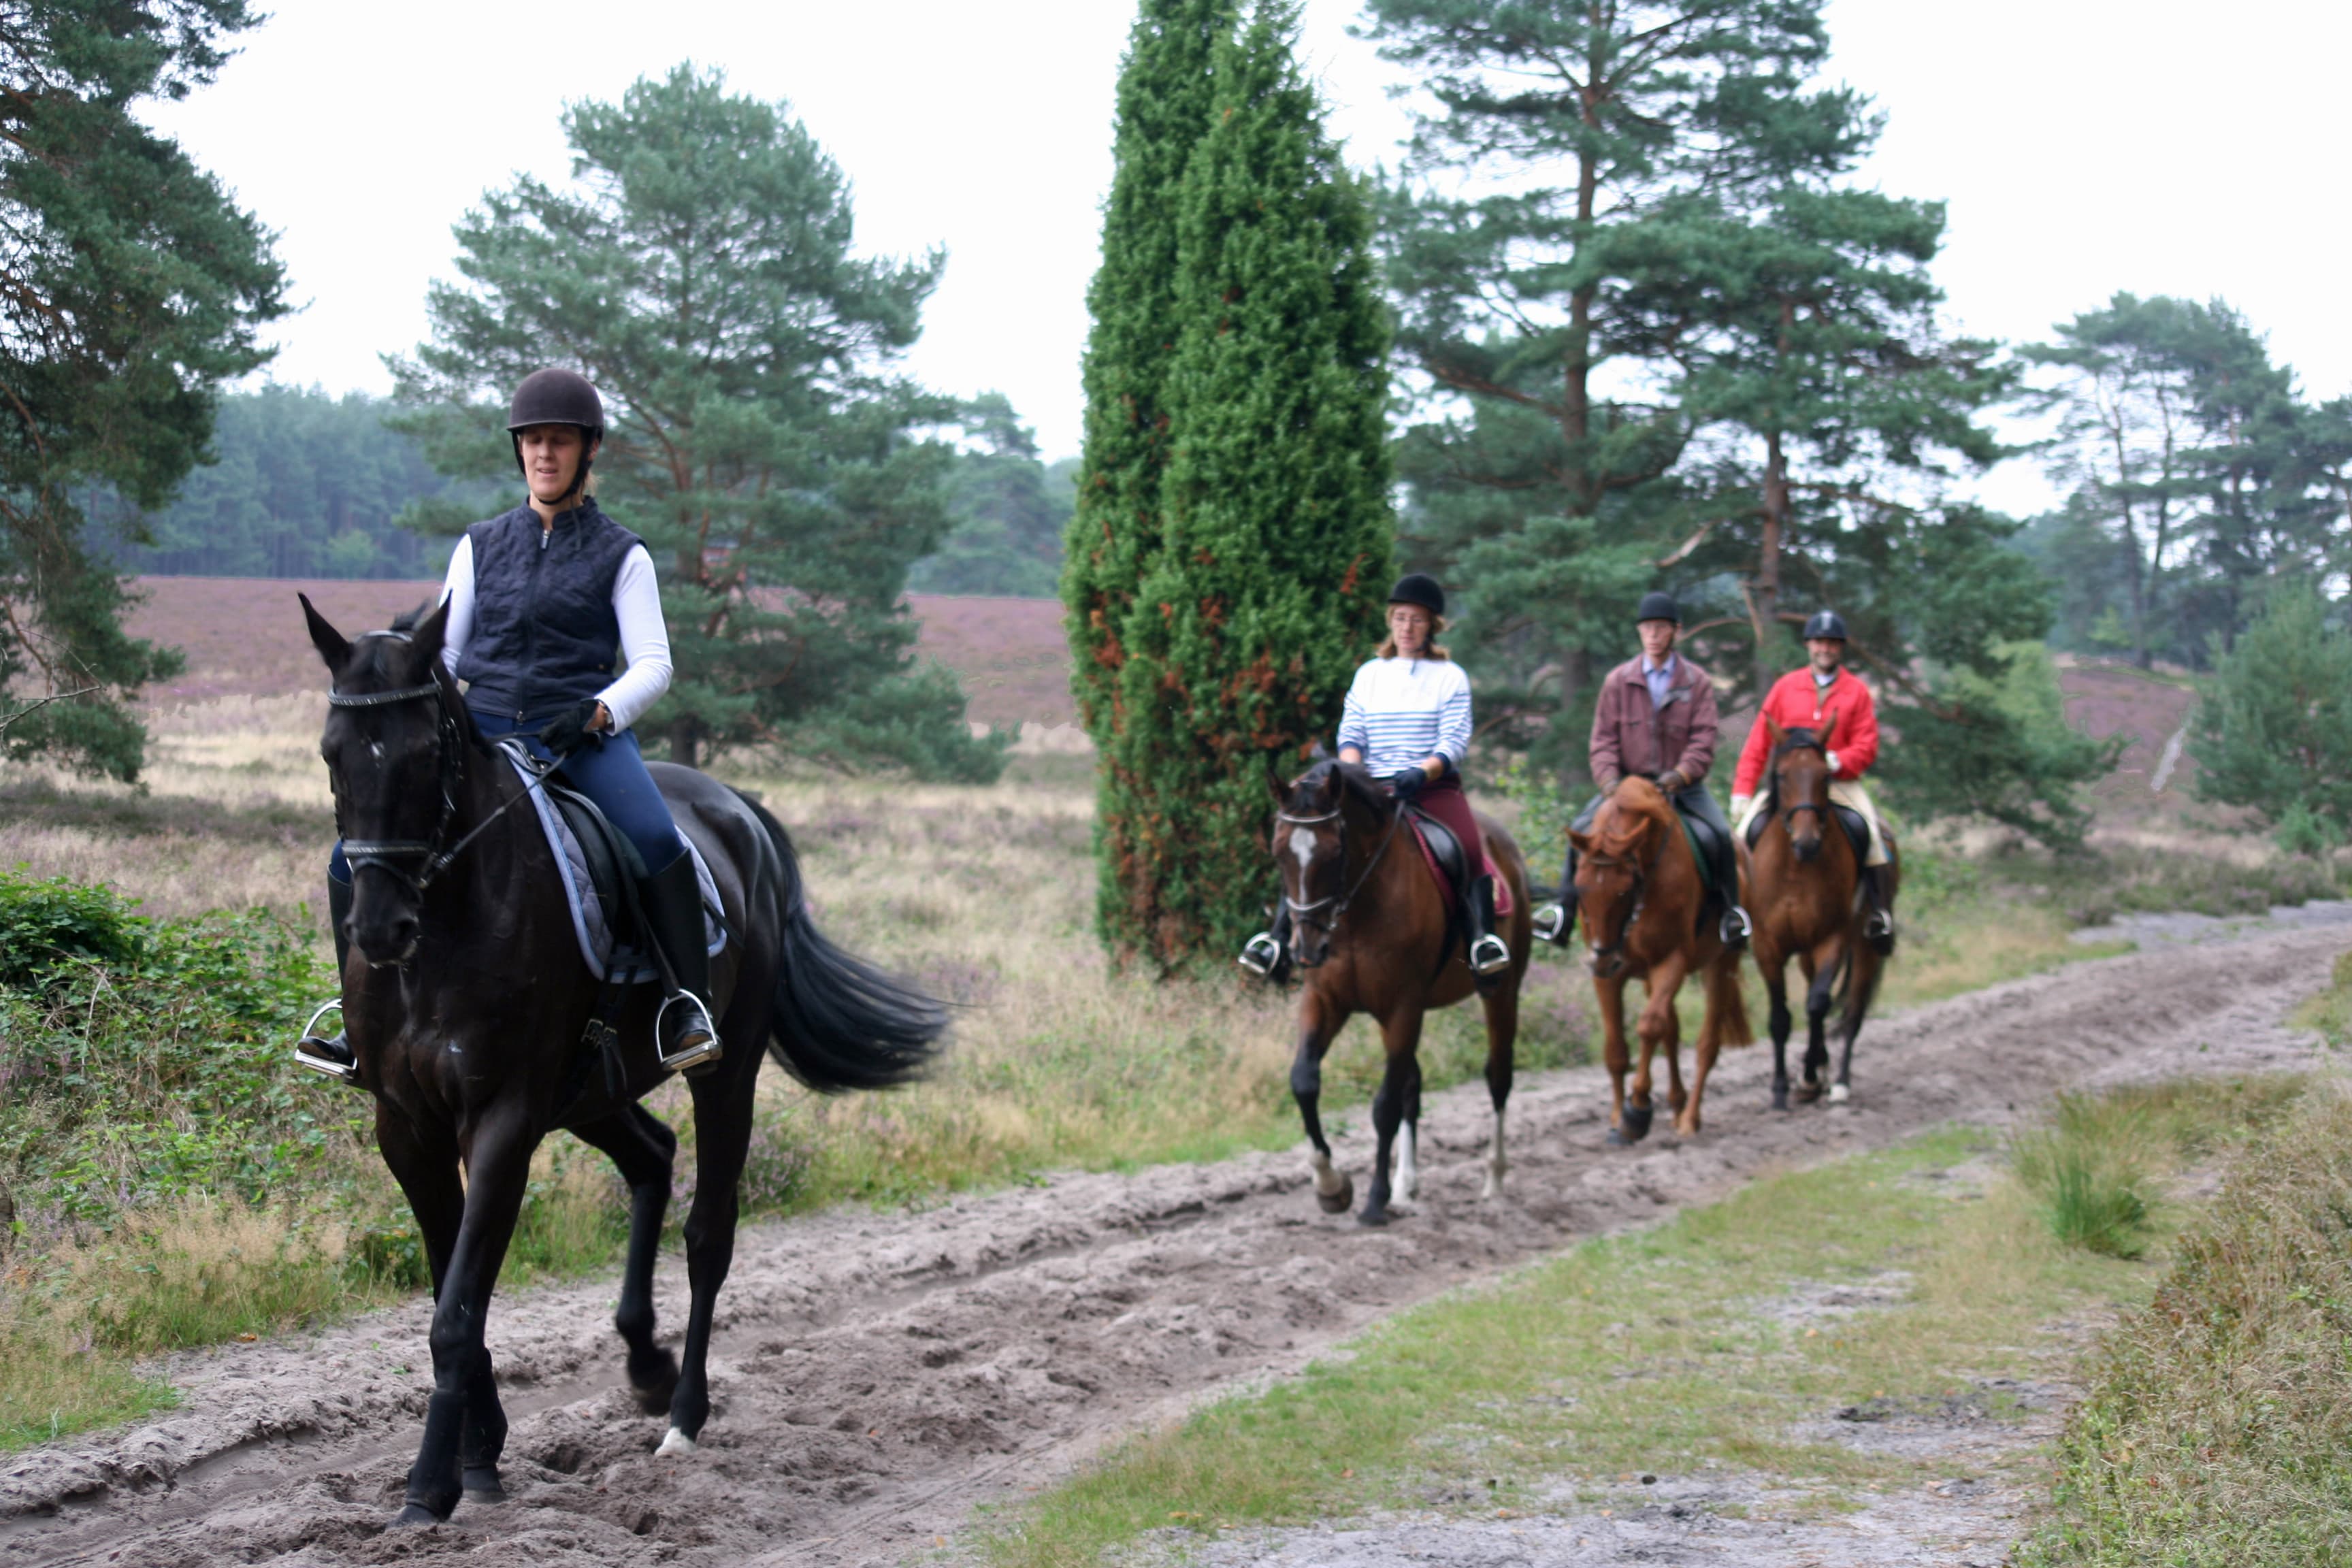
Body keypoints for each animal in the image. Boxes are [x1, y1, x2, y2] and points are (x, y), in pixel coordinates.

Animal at [303, 594, 945, 1523]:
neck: (450, 927)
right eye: (333, 751)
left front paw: (431, 1485)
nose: (382, 927)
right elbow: (451, 1287)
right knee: (652, 1157)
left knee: (709, 1233)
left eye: (425, 752)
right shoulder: (408, 1127)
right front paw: (482, 1451)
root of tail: (736, 809)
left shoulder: (502, 1121)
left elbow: (458, 1309)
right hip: (591, 1092)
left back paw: (681, 1415)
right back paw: (644, 1363)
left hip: (721, 1074)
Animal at [1260, 762, 1533, 1222]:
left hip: (1501, 992)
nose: (1307, 949)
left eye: (1334, 852)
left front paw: (1374, 1200)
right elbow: (1304, 1082)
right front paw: (1331, 1187)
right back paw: (1408, 1185)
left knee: (1498, 1077)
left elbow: (1384, 1105)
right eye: (1279, 853)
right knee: (1413, 1086)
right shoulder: (1325, 1002)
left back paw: (1493, 1179)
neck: (1356, 912)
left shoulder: (1403, 1007)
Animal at [1561, 780, 1750, 1142]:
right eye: (1580, 887)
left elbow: (1648, 1027)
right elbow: (1617, 1050)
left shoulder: (1671, 961)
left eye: (1624, 890)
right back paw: (1676, 1105)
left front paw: (1636, 1111)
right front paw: (1617, 1118)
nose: (1603, 959)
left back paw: (1689, 1119)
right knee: (1671, 1032)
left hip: (1722, 963)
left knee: (1706, 1045)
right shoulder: (1609, 975)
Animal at [1740, 719, 1900, 1109]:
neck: (1795, 869)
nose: (1807, 841)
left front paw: (1810, 1077)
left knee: (1852, 1011)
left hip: (1865, 947)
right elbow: (1781, 1018)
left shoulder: (1832, 939)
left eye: (1825, 775)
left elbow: (1816, 1005)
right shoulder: (1768, 946)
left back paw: (1839, 1082)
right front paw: (1781, 1088)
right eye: (1782, 775)